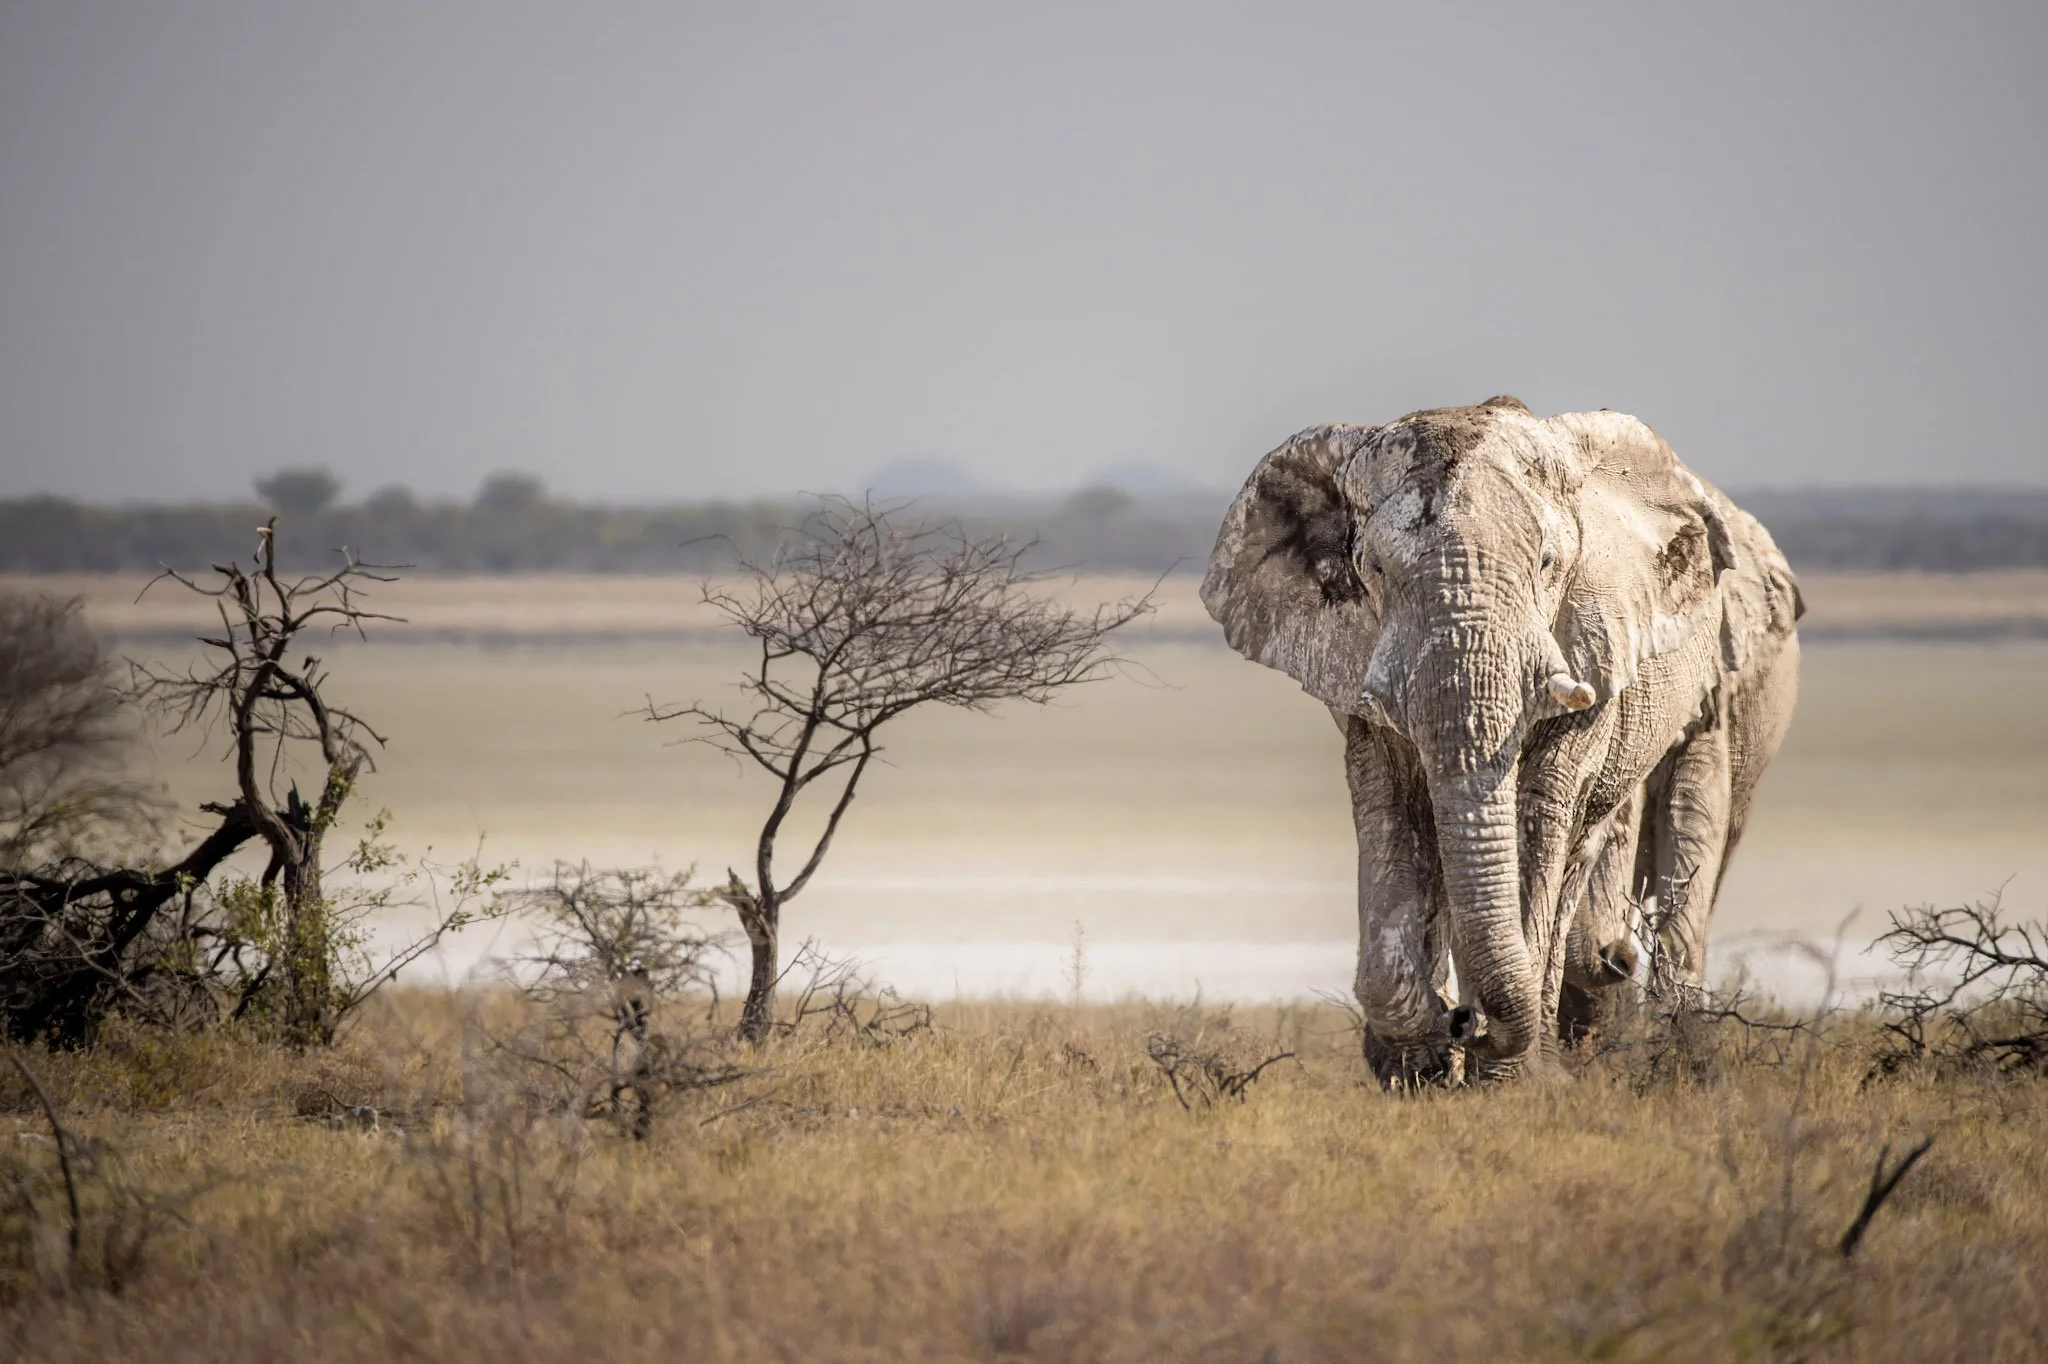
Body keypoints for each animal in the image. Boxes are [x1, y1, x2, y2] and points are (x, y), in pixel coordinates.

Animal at [1202, 397, 1802, 1083]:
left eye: (1547, 565)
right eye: (1374, 570)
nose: (1467, 1022)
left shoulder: (1593, 645)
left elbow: (1537, 812)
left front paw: (1504, 1079)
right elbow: (1390, 810)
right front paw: (1421, 1065)